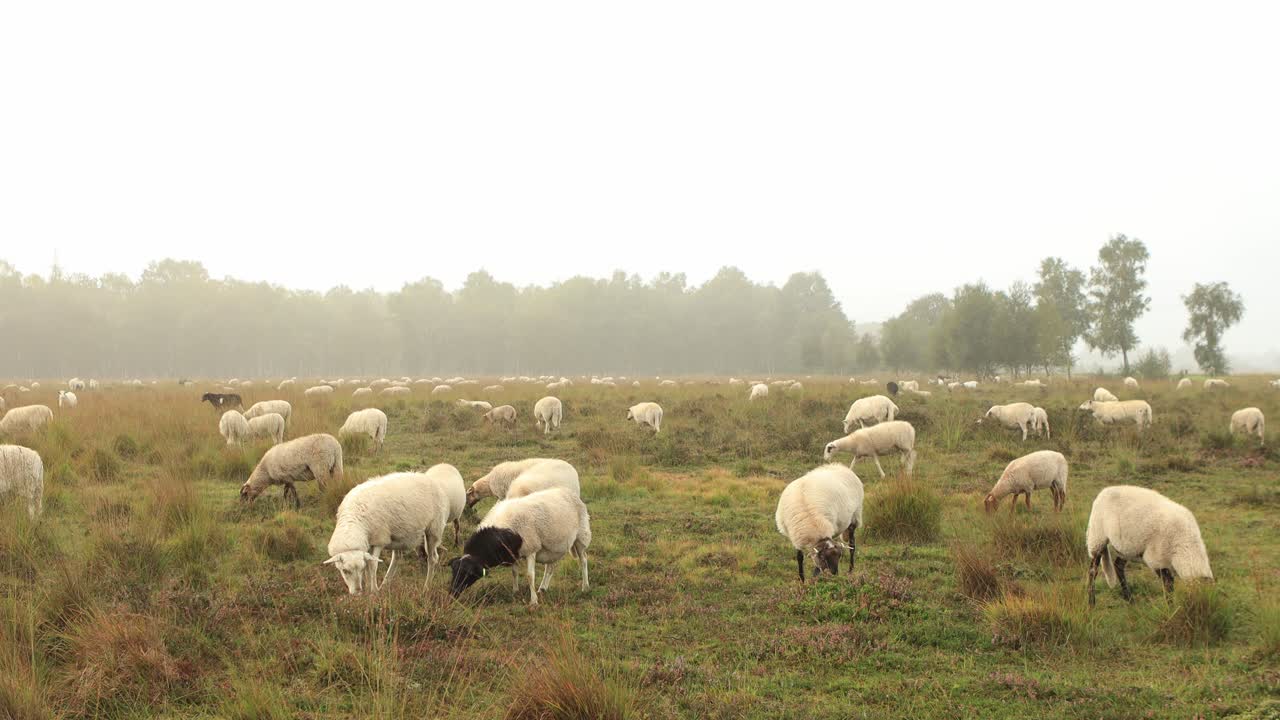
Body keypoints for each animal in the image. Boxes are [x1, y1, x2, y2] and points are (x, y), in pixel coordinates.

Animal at [324, 464, 466, 594]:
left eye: (358, 569)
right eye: (344, 571)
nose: (357, 592)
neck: (354, 521)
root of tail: (433, 481)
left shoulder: (379, 539)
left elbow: (372, 566)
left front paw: (373, 592)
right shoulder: (369, 543)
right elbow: (369, 565)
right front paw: (370, 589)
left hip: (433, 529)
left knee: (433, 558)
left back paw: (426, 587)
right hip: (400, 535)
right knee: (397, 557)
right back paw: (386, 583)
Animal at [448, 488, 591, 605]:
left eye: (468, 573)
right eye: (453, 571)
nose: (452, 594)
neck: (501, 530)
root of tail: (568, 491)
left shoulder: (531, 549)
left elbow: (530, 576)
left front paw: (533, 601)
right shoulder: (513, 553)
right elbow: (514, 572)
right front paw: (515, 591)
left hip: (581, 536)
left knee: (583, 560)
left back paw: (585, 586)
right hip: (552, 547)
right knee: (550, 567)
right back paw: (543, 588)